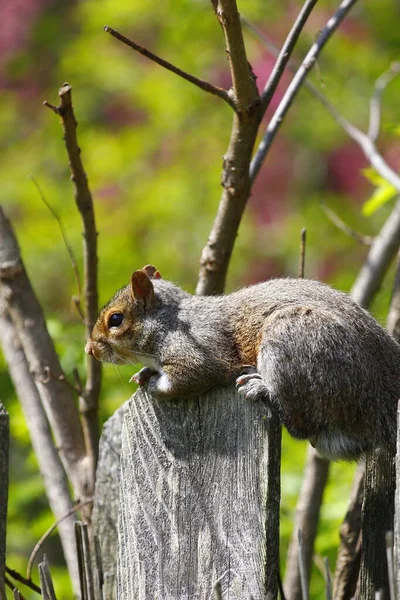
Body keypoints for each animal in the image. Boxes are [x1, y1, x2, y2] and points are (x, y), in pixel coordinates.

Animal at [84, 264, 400, 462]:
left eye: (115, 319)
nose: (90, 349)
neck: (169, 320)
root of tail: (381, 405)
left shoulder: (197, 351)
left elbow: (189, 378)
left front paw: (153, 384)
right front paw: (143, 372)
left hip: (293, 339)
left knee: (303, 427)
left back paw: (261, 387)